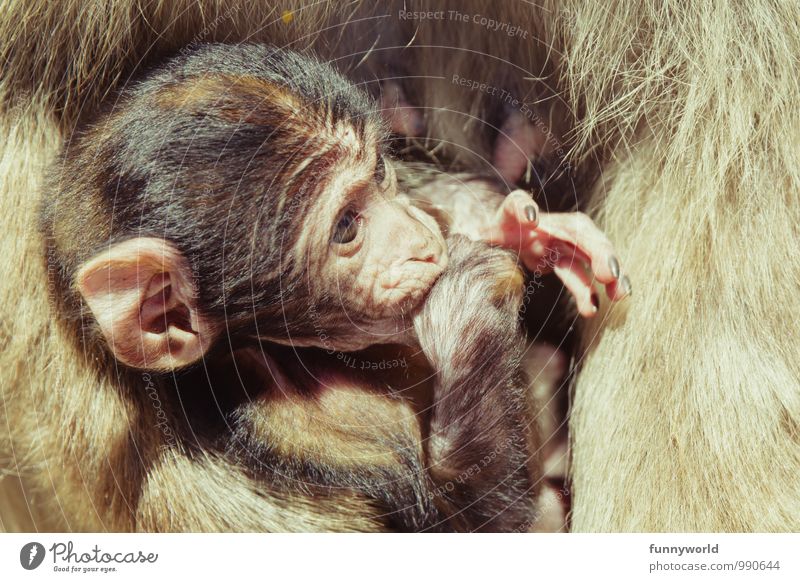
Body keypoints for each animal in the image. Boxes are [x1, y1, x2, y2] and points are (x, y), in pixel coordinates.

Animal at [43, 43, 628, 532]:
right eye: (346, 225)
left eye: (382, 171)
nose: (422, 240)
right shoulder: (306, 430)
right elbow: (504, 524)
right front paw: (467, 307)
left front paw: (519, 227)